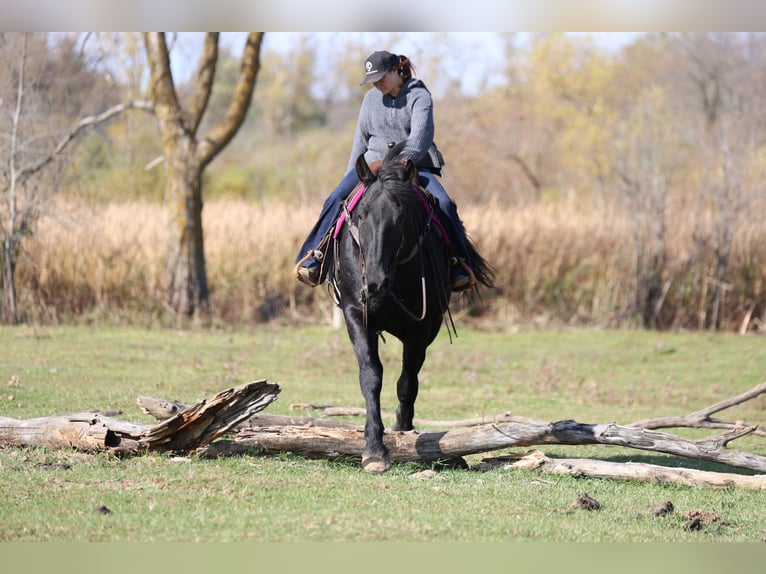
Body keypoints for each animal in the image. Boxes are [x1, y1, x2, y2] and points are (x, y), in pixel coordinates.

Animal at [330, 141, 494, 473]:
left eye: (399, 216)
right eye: (361, 215)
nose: (374, 282)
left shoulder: (422, 329)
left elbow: (407, 382)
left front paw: (403, 429)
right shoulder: (356, 314)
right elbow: (371, 376)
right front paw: (374, 450)